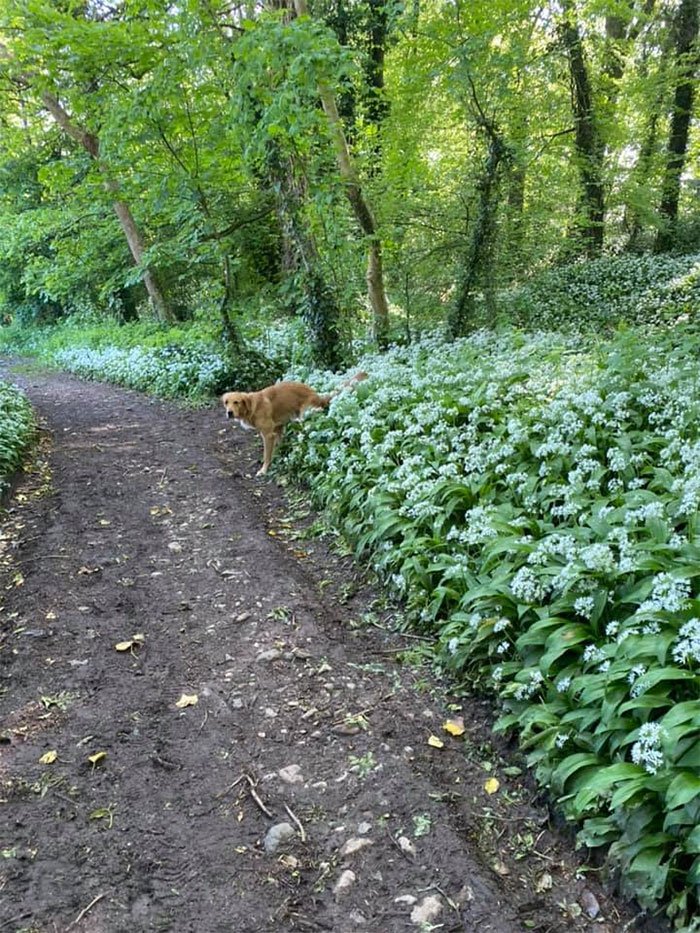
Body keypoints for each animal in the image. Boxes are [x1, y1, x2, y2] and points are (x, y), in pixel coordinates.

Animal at [223, 372, 366, 474]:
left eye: (236, 402)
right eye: (226, 402)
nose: (229, 413)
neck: (252, 406)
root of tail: (317, 396)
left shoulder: (268, 435)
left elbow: (267, 455)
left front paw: (264, 470)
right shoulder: (278, 427)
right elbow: (278, 445)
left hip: (305, 418)